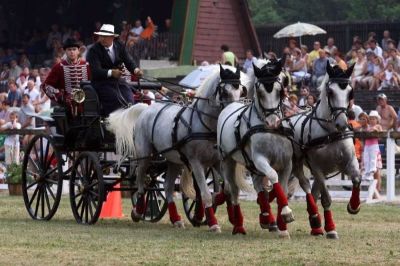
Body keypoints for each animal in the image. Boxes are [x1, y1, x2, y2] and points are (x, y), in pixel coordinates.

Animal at [217, 58, 296, 237]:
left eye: (280, 90)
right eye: (260, 93)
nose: (273, 122)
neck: (270, 131)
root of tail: (231, 105)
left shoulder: (287, 163)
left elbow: (282, 188)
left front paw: (282, 226)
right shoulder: (260, 160)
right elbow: (273, 176)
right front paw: (286, 213)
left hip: (251, 165)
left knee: (259, 186)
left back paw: (267, 217)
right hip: (228, 161)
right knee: (233, 190)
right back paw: (238, 225)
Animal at [282, 62, 360, 239]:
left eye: (350, 92)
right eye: (330, 92)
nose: (342, 124)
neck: (330, 133)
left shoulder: (350, 161)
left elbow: (357, 179)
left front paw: (353, 206)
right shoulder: (316, 167)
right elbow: (326, 199)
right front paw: (331, 229)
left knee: (314, 191)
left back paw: (316, 226)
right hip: (299, 165)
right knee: (306, 187)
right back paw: (315, 220)